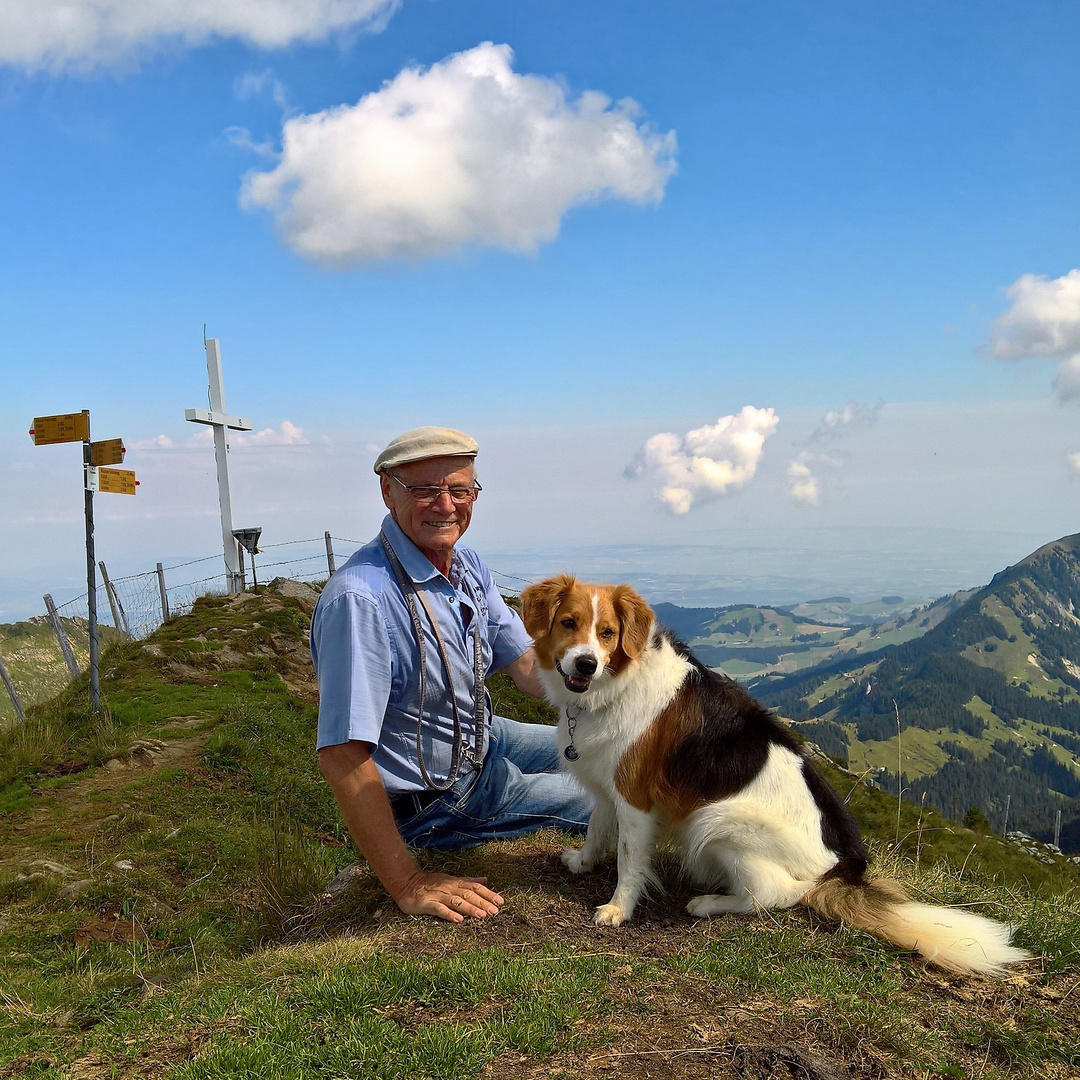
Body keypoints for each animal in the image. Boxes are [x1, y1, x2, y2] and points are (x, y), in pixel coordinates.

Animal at [520, 578, 1028, 976]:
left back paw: (710, 903)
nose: (586, 663)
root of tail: (842, 867)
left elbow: (629, 862)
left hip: (717, 819)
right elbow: (595, 830)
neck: (614, 684)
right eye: (569, 623)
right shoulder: (611, 788)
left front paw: (618, 909)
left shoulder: (637, 801)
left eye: (608, 633)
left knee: (777, 895)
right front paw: (583, 862)